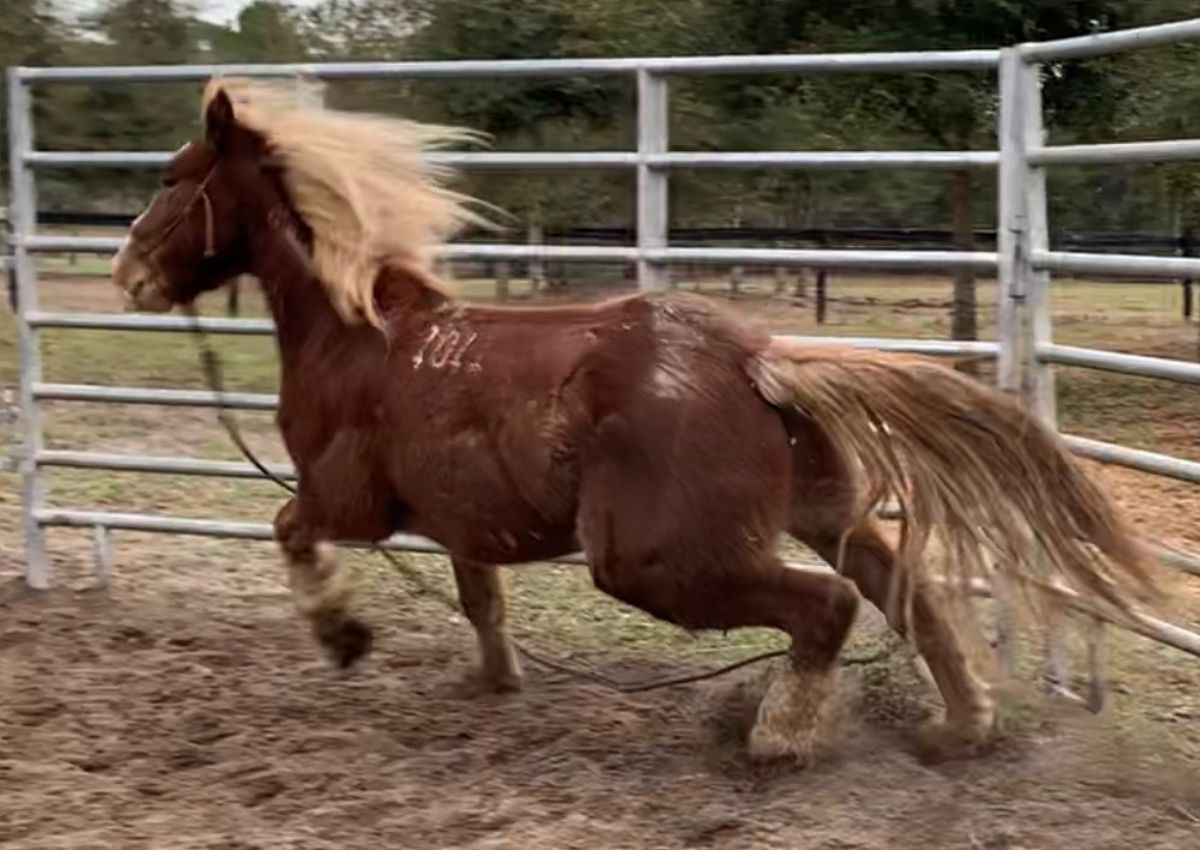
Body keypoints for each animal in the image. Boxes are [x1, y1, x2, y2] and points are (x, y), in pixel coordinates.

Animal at [110, 78, 1159, 765]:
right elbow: (481, 600)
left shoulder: (348, 501)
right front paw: (491, 683)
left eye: (170, 177)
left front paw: (343, 638)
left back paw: (780, 740)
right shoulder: (464, 521)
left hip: (653, 560)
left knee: (827, 605)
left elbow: (288, 530)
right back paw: (958, 727)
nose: (130, 276)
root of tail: (757, 361)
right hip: (819, 510)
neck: (360, 335)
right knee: (905, 589)